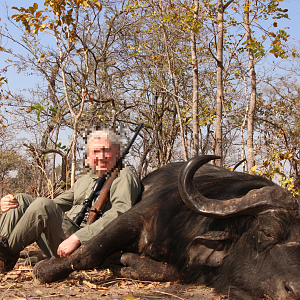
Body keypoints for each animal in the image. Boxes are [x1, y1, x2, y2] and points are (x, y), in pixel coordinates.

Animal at [33, 156, 300, 298]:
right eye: (266, 232)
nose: (295, 290)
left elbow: (171, 271)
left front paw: (128, 263)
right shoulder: (136, 216)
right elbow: (87, 253)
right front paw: (46, 268)